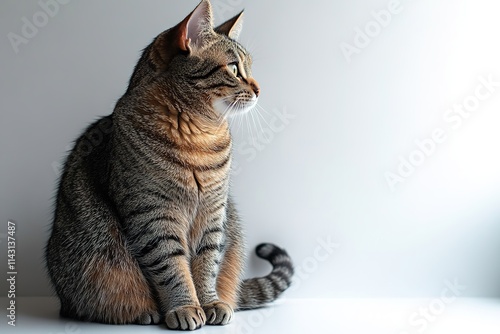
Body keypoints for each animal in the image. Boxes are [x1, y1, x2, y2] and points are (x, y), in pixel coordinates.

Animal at [44, 0, 292, 330]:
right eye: (234, 68)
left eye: (249, 67)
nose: (259, 88)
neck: (199, 136)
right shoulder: (153, 214)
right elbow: (172, 268)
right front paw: (185, 307)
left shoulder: (213, 213)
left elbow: (207, 264)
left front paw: (209, 302)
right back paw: (143, 313)